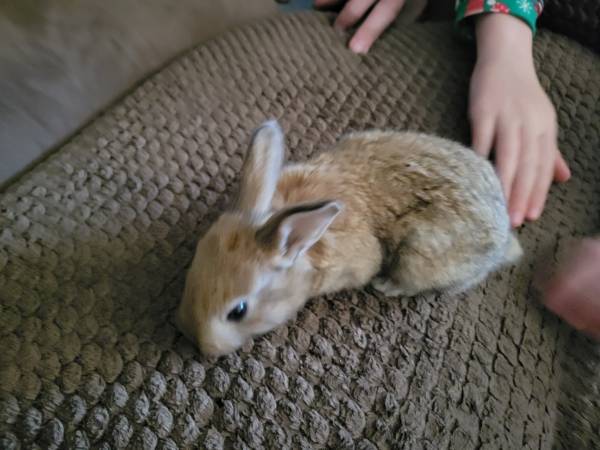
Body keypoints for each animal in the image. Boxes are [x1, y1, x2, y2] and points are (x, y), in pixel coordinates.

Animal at [173, 120, 520, 358]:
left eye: (239, 311)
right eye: (192, 273)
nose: (197, 342)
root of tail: (504, 239)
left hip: (419, 254)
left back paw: (387, 285)